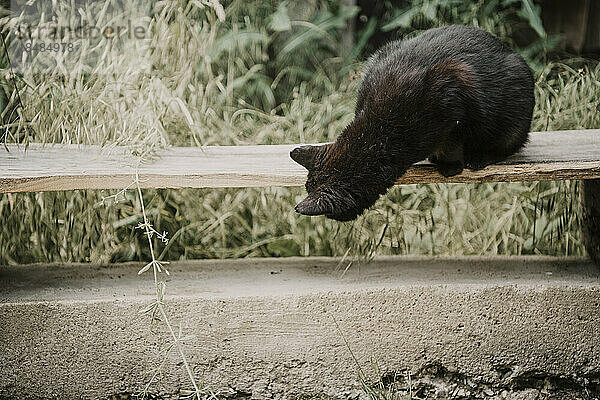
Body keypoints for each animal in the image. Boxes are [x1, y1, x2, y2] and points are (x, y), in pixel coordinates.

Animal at [290, 25, 536, 222]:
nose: (332, 221)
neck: (381, 132)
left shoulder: (454, 90)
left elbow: (452, 143)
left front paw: (450, 165)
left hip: (514, 113)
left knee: (507, 144)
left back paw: (480, 157)